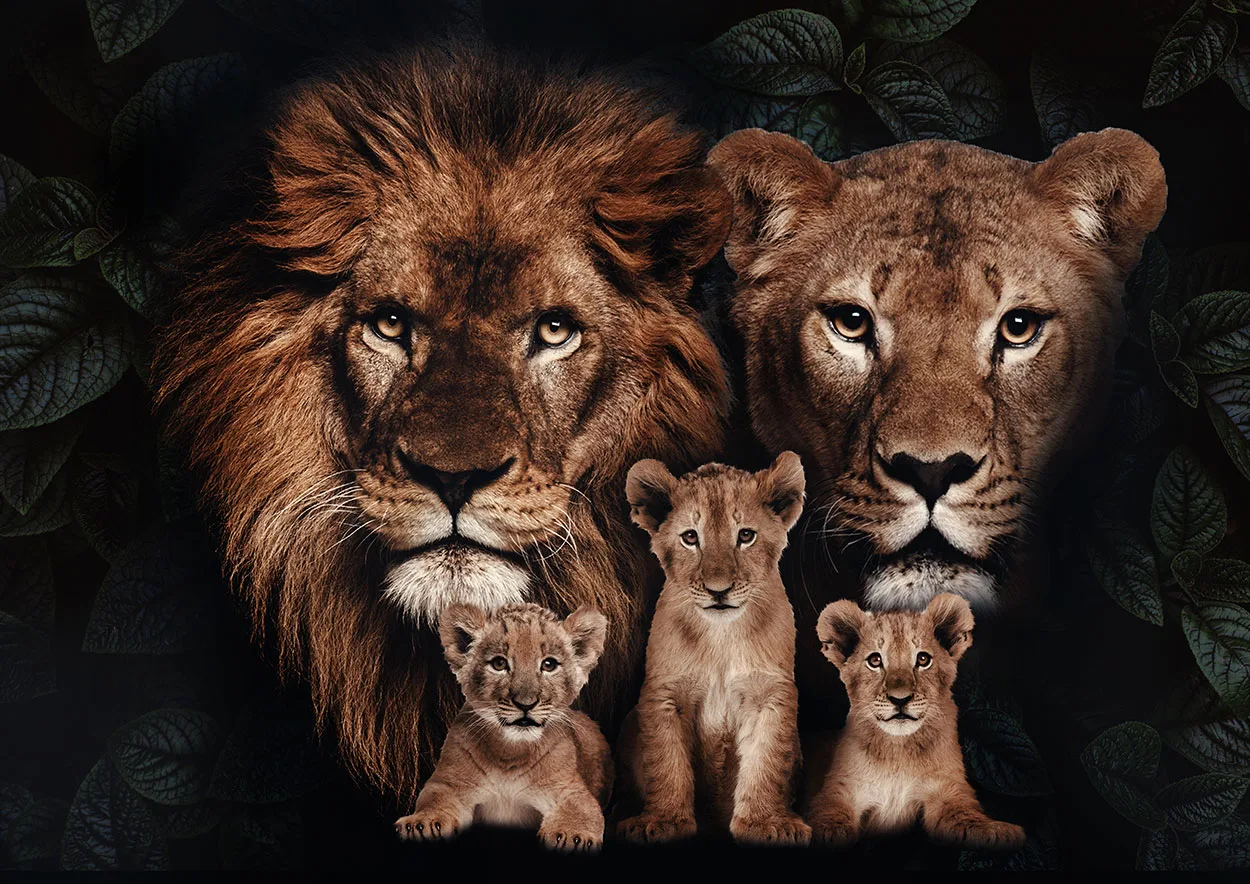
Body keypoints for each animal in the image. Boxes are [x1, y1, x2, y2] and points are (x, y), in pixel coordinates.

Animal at [394, 602, 612, 852]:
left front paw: (571, 835)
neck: (510, 752)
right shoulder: (450, 784)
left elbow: (582, 810)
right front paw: (422, 823)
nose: (526, 704)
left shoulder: (570, 789)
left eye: (549, 665)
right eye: (499, 663)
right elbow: (433, 799)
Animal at [616, 452, 810, 846]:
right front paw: (663, 821)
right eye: (691, 537)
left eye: (746, 536)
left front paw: (764, 823)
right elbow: (666, 761)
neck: (721, 637)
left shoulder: (770, 694)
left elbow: (766, 762)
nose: (718, 590)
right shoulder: (664, 693)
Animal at [806, 593, 1025, 850]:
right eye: (874, 660)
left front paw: (998, 830)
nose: (900, 699)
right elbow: (828, 813)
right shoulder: (840, 788)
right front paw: (829, 833)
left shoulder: (947, 790)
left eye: (923, 659)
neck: (898, 751)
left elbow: (965, 816)